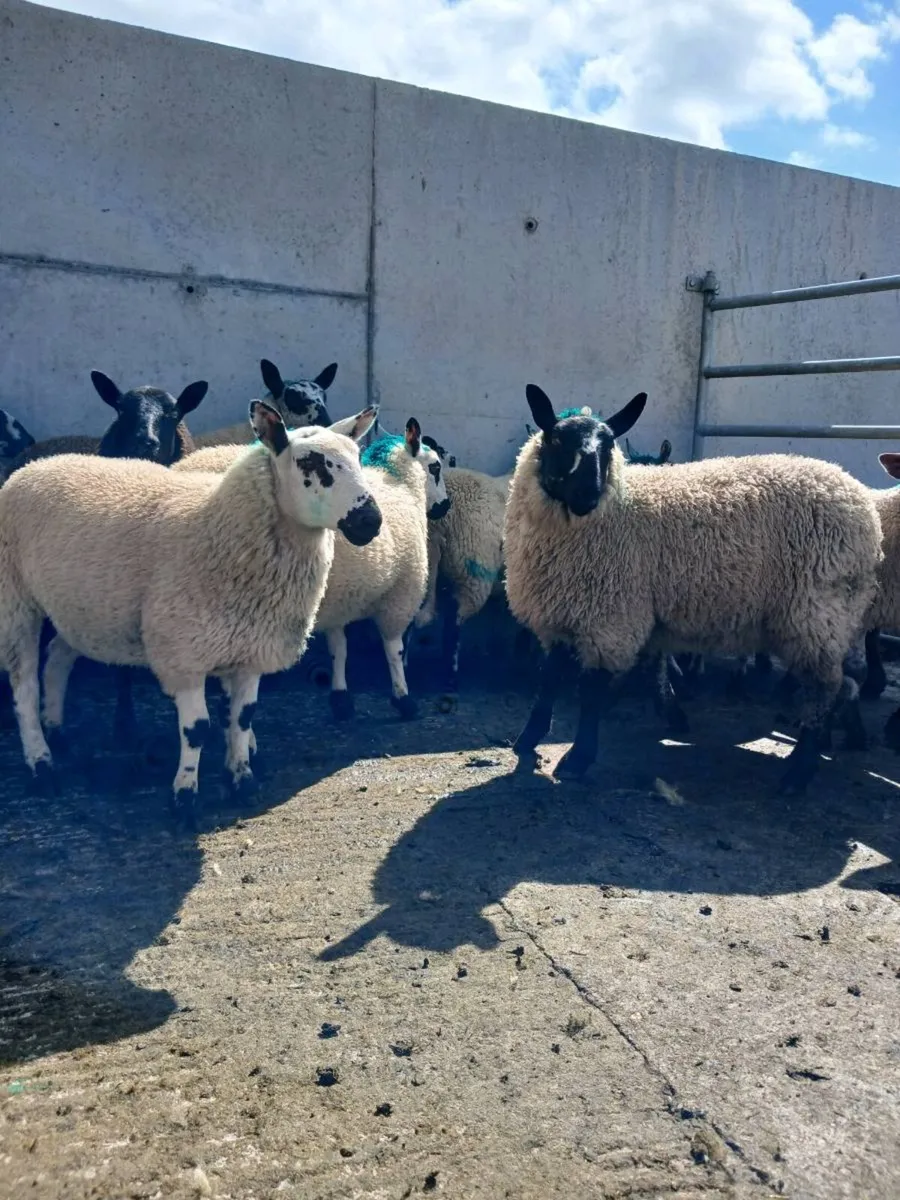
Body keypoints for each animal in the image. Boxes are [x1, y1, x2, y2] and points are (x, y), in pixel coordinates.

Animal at [0, 401, 381, 829]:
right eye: (310, 463)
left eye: (358, 459)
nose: (371, 521)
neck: (220, 529)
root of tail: (33, 467)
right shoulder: (183, 652)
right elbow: (197, 730)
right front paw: (184, 798)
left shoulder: (251, 647)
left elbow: (243, 717)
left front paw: (242, 780)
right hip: (15, 599)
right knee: (24, 685)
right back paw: (41, 764)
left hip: (81, 609)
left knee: (57, 661)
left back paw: (57, 732)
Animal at [176, 418, 451, 722]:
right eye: (435, 466)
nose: (445, 507)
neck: (402, 484)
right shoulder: (402, 591)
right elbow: (394, 649)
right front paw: (403, 698)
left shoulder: (340, 595)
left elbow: (338, 648)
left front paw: (341, 698)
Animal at [503, 384, 883, 795]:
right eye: (557, 439)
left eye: (608, 445)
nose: (589, 494)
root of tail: (859, 499)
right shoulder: (558, 610)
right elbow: (549, 679)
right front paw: (527, 739)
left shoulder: (611, 617)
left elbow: (591, 691)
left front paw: (578, 758)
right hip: (824, 616)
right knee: (842, 682)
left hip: (819, 609)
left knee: (826, 686)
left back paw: (798, 772)